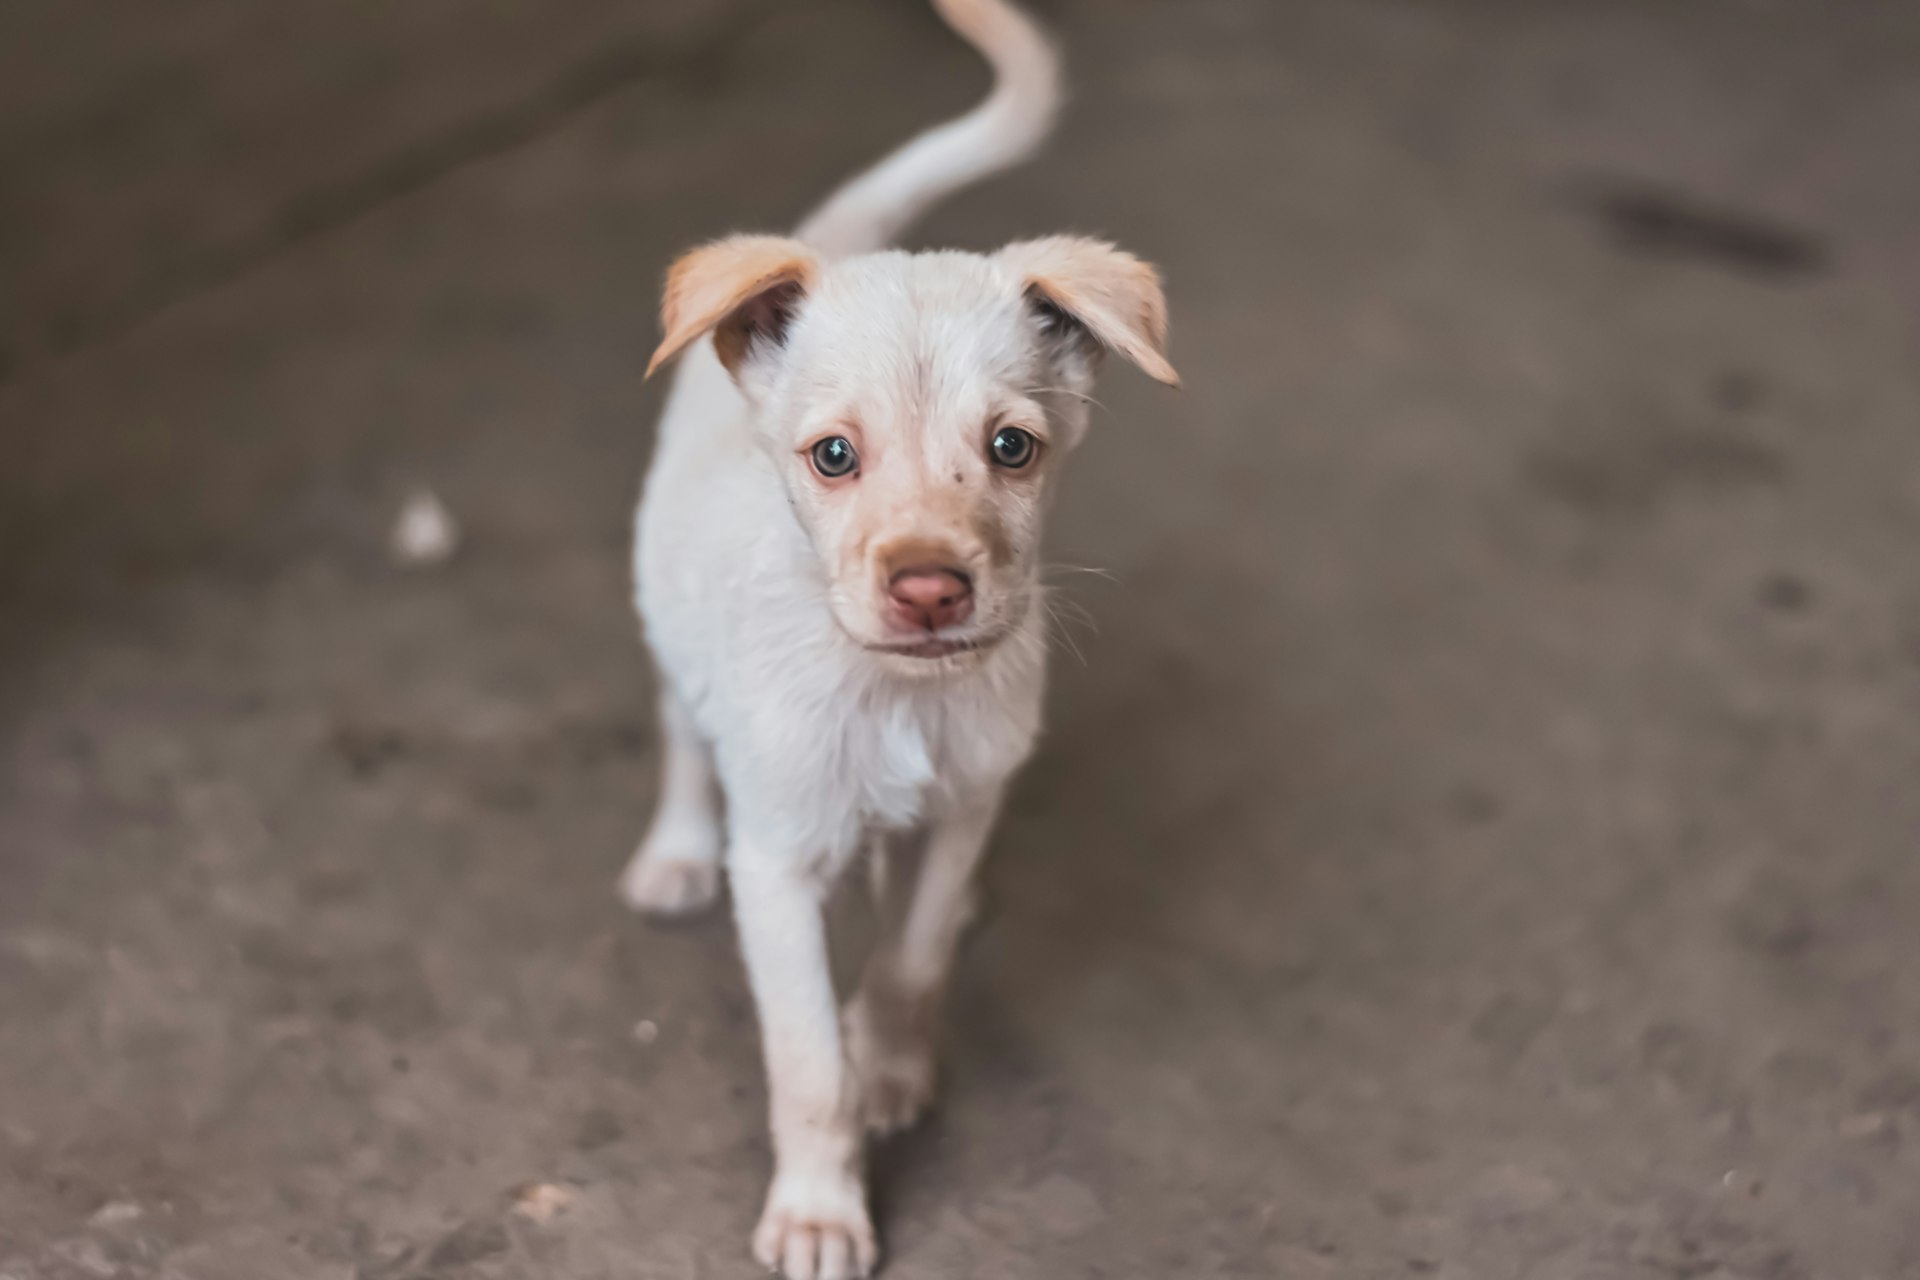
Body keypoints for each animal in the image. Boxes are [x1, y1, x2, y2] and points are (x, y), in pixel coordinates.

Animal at [622, 5, 1175, 1274]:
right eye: (835, 456)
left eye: (1013, 448)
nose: (930, 590)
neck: (895, 692)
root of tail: (825, 244)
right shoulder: (776, 865)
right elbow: (806, 1064)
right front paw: (822, 1206)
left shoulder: (967, 799)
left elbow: (911, 957)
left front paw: (892, 1058)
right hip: (669, 624)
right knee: (681, 735)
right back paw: (675, 850)